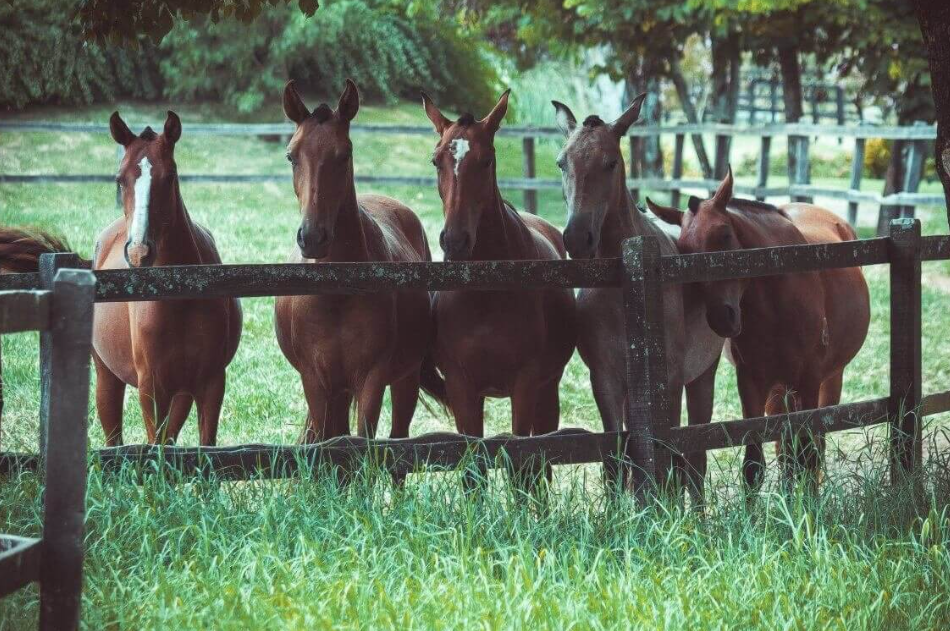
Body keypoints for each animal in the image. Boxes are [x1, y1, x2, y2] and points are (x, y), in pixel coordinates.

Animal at [94, 115, 242, 450]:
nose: (139, 252)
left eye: (170, 176)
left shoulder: (210, 383)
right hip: (107, 378)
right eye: (120, 178)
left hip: (181, 393)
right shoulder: (151, 388)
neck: (180, 293)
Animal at [276, 80, 438, 444]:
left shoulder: (372, 380)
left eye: (345, 154)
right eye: (292, 156)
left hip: (404, 379)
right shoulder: (316, 382)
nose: (313, 237)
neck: (337, 293)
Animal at [426, 90, 576, 440]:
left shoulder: (526, 382)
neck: (486, 291)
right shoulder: (461, 387)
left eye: (487, 160)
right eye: (436, 161)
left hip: (547, 389)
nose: (455, 241)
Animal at [552, 99, 720, 496]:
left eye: (611, 162)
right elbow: (616, 459)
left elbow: (669, 458)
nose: (577, 238)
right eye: (562, 162)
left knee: (696, 460)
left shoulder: (669, 381)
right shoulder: (606, 380)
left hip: (702, 376)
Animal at [652, 168, 872, 488]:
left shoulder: (809, 381)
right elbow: (754, 464)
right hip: (780, 390)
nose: (721, 318)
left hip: (829, 379)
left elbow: (808, 454)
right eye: (683, 251)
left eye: (724, 234)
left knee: (813, 446)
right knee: (786, 450)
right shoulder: (752, 383)